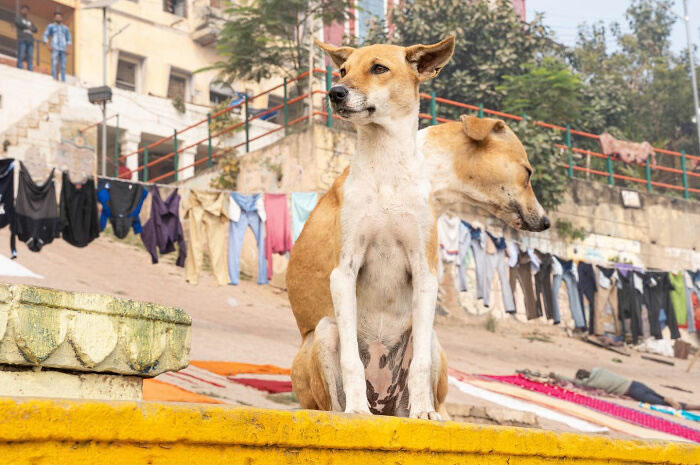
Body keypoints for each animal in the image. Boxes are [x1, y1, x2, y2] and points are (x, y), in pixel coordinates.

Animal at [288, 38, 548, 418]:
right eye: (343, 70)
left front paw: (424, 412)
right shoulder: (344, 272)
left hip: (431, 341)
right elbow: (351, 360)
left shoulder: (425, 274)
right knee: (334, 396)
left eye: (379, 68)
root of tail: (383, 405)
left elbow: (421, 367)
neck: (387, 166)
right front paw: (356, 408)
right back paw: (355, 408)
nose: (335, 92)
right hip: (322, 333)